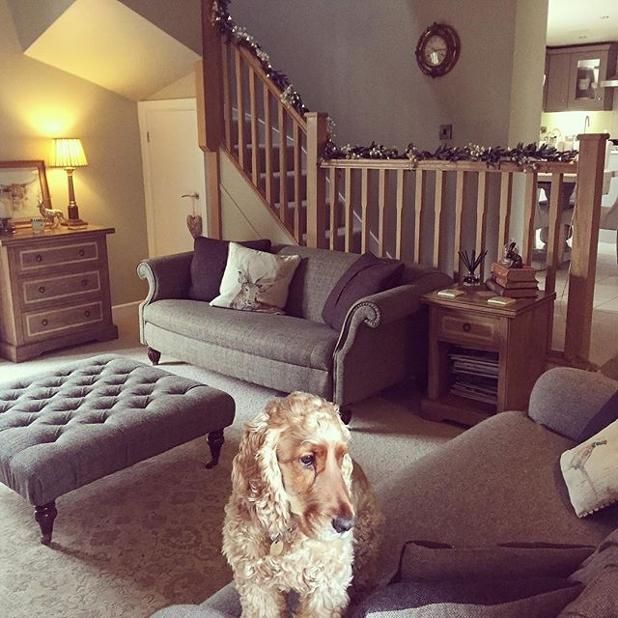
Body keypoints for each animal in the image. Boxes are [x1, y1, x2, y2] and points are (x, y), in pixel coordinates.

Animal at [221, 392, 380, 612]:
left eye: (341, 457)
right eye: (307, 459)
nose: (346, 525)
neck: (288, 532)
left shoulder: (327, 585)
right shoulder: (256, 583)